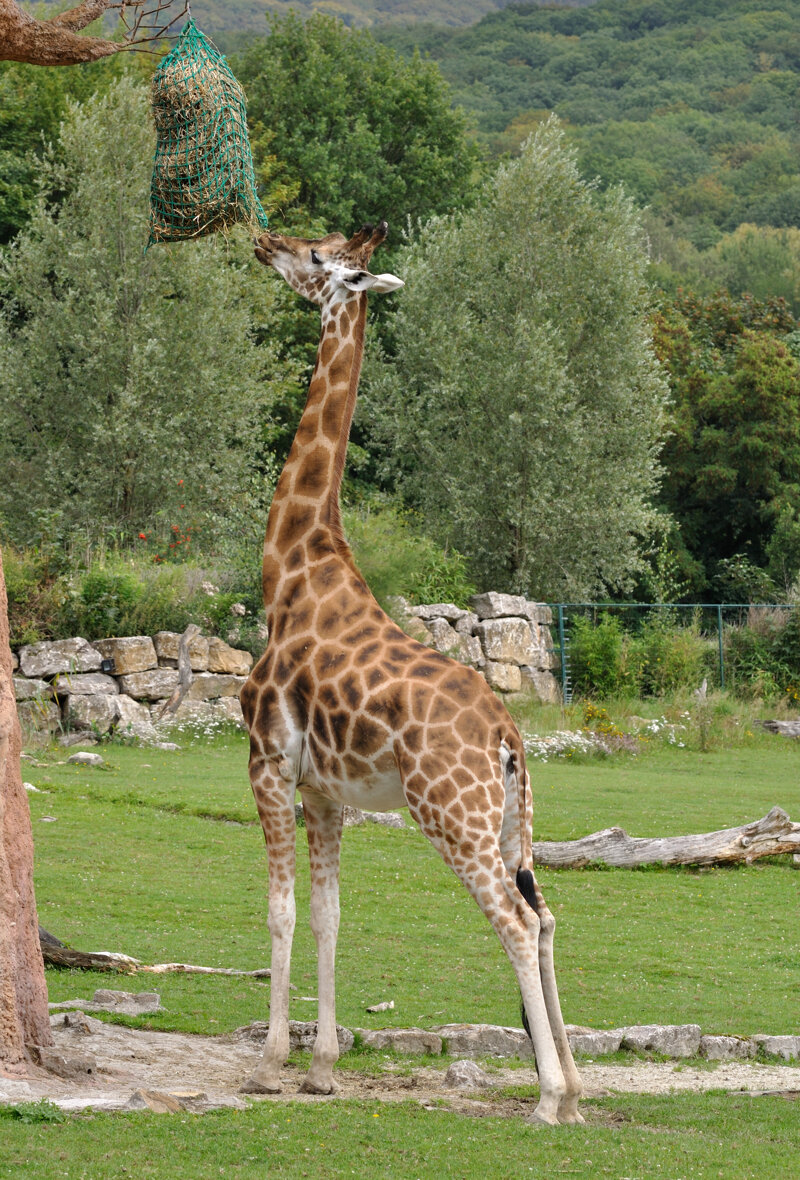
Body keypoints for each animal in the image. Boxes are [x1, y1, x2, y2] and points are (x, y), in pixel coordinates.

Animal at [240, 221, 583, 1124]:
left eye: (317, 258)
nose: (264, 241)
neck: (291, 572)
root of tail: (508, 736)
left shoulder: (265, 760)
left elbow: (281, 911)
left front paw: (271, 1065)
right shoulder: (326, 789)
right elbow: (329, 916)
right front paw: (322, 1068)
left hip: (450, 815)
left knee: (515, 921)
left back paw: (546, 1099)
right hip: (508, 820)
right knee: (547, 912)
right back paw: (576, 1087)